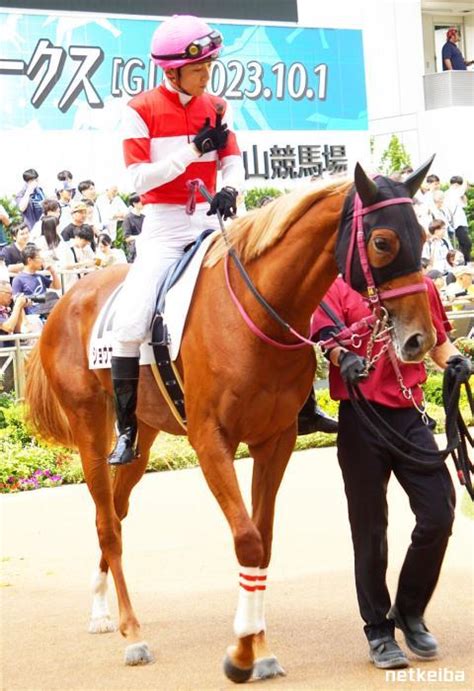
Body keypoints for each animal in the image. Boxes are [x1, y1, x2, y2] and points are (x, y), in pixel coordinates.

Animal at [25, 162, 434, 680]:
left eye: (423, 234)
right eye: (382, 241)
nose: (420, 338)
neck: (254, 311)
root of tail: (67, 298)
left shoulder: (275, 440)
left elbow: (264, 539)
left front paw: (259, 647)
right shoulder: (211, 442)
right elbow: (247, 539)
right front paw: (242, 652)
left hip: (143, 436)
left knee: (115, 510)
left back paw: (102, 610)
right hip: (89, 428)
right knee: (106, 523)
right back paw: (132, 633)